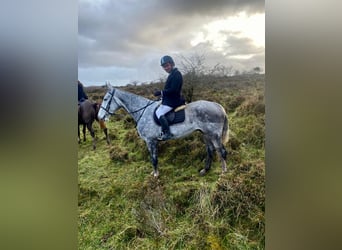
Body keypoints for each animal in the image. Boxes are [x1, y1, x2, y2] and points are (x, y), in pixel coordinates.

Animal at [97, 86, 228, 178]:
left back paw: (223, 173)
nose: (99, 117)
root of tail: (217, 106)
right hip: (205, 134)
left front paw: (155, 175)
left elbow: (153, 158)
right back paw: (205, 170)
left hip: (214, 135)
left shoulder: (150, 141)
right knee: (210, 150)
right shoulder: (153, 141)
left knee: (221, 151)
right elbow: (154, 157)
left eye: (105, 99)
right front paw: (155, 173)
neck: (143, 111)